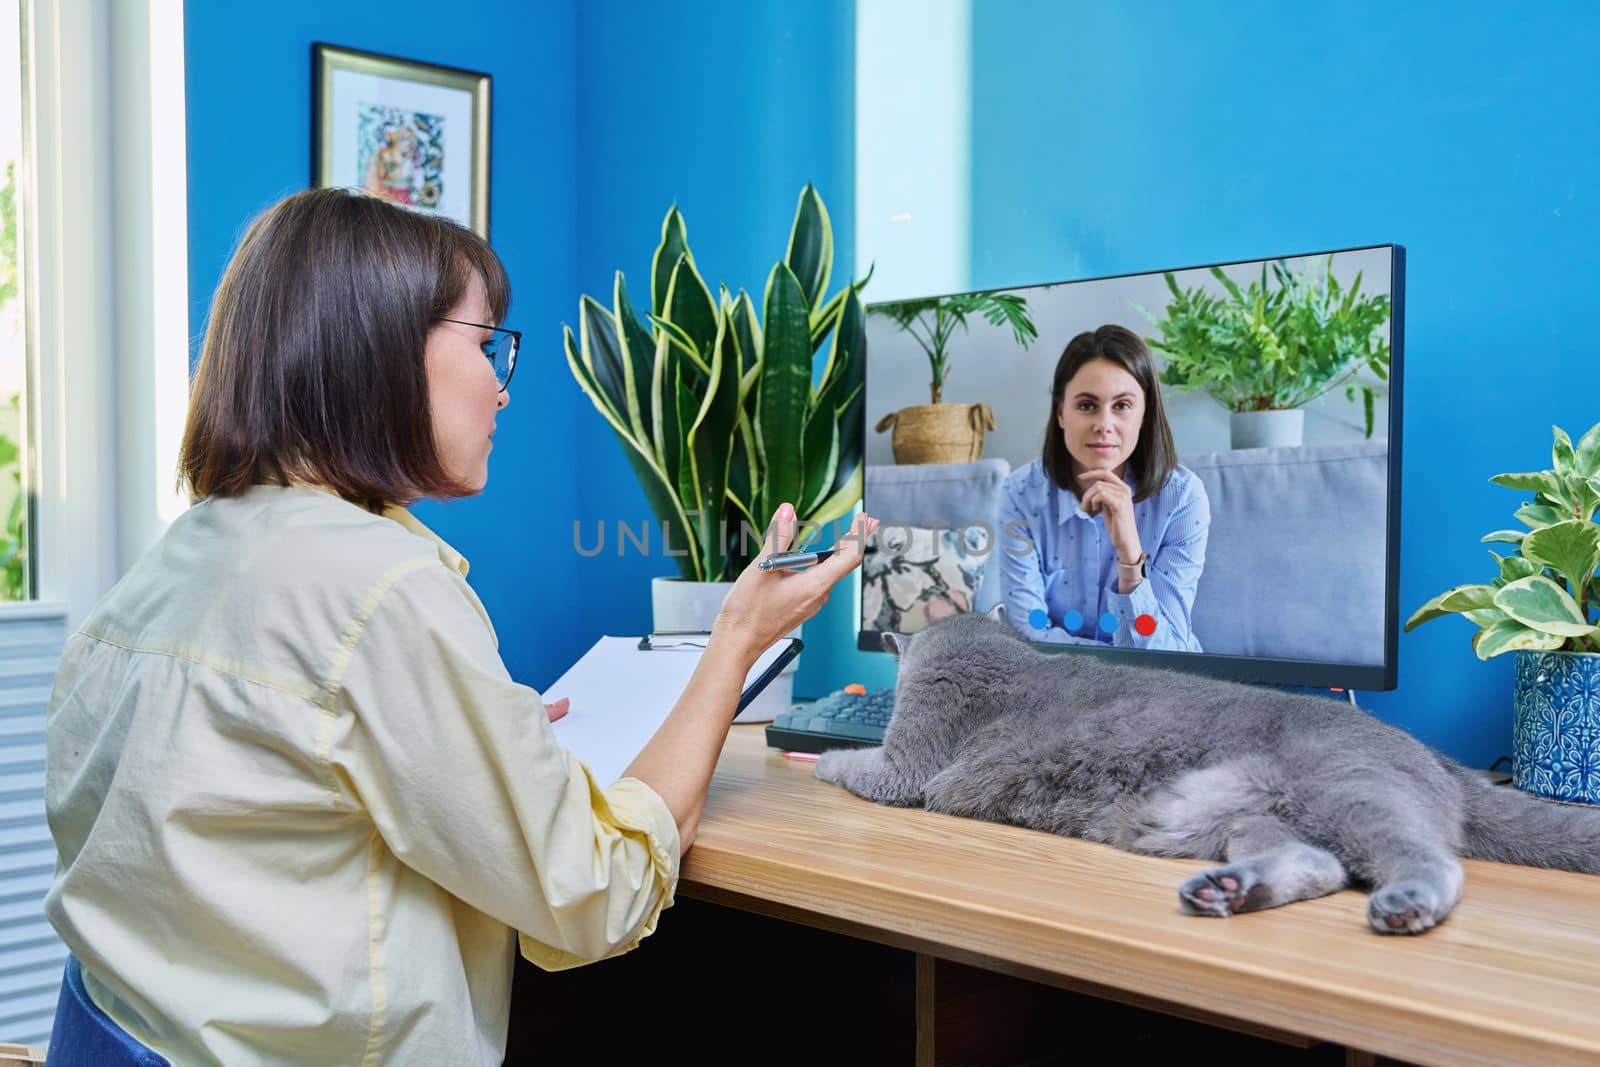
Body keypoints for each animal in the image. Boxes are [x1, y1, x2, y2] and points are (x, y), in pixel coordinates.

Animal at [819, 607, 1593, 934]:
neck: (986, 640)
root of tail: (1438, 757)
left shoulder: (908, 760)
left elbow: (869, 766)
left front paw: (825, 757)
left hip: (1345, 790)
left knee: (1430, 860)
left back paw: (1405, 902)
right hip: (1248, 815)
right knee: (1317, 864)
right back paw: (1231, 890)